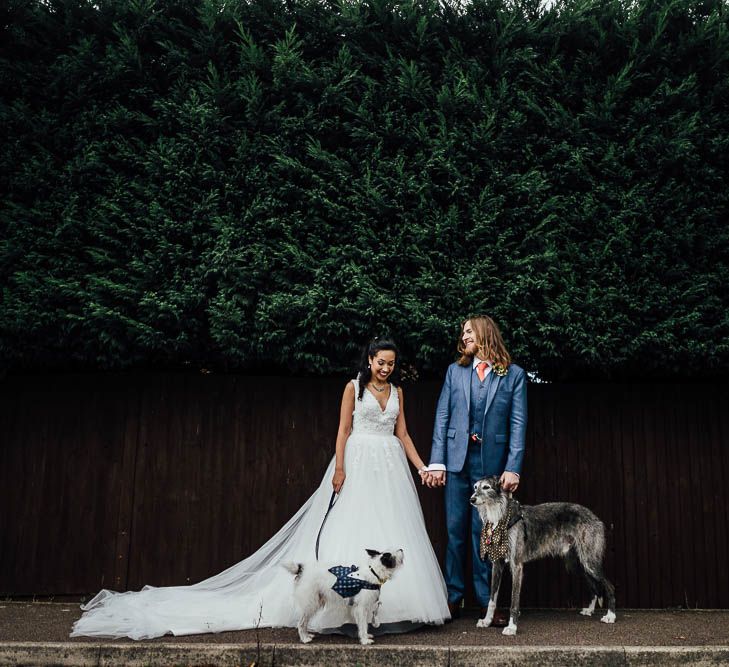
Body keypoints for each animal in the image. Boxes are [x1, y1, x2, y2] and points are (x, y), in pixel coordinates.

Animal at [470, 474, 616, 636]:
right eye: (475, 487)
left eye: (486, 487)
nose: (472, 499)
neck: (501, 516)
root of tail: (595, 517)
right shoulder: (498, 564)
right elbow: (492, 598)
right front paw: (487, 621)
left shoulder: (517, 565)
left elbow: (514, 601)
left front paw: (512, 627)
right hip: (576, 564)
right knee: (593, 586)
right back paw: (589, 610)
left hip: (589, 561)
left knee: (609, 586)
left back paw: (611, 616)